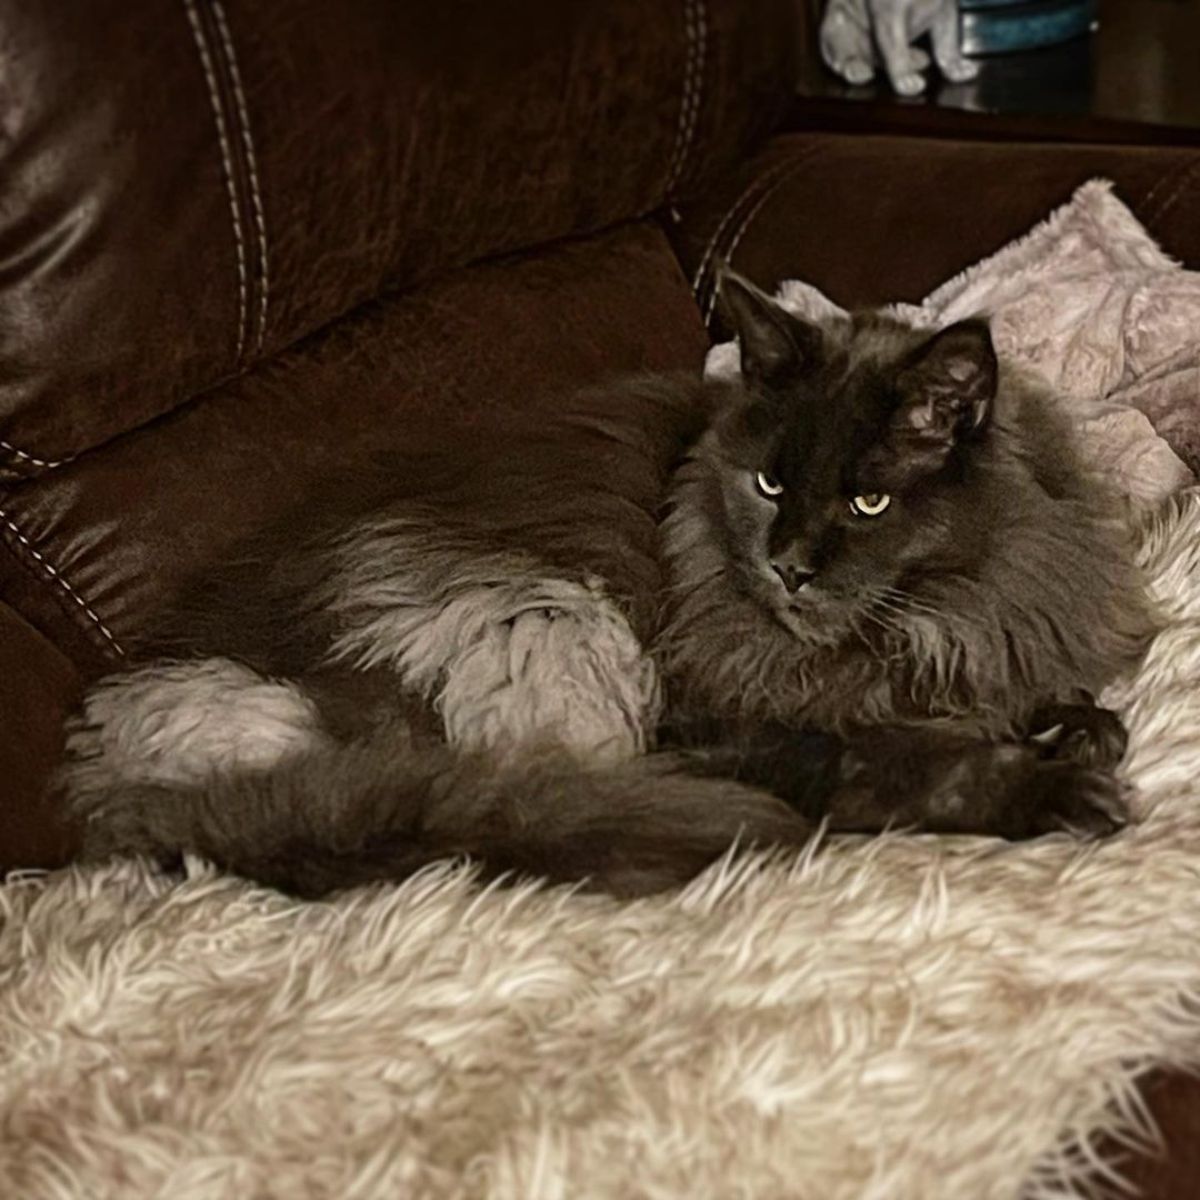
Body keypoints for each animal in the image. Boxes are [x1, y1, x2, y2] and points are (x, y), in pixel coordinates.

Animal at [60, 267, 1156, 897]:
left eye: (866, 502)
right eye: (770, 484)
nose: (788, 568)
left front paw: (1067, 722)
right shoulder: (734, 724)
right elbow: (903, 762)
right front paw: (1053, 784)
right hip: (549, 619)